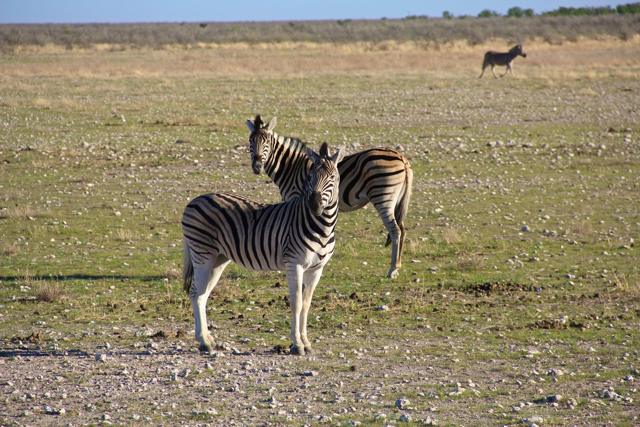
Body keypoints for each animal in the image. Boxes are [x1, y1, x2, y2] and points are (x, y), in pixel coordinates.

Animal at [182, 142, 343, 356]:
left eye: (332, 177)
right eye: (310, 177)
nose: (314, 205)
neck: (322, 227)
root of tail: (194, 200)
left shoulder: (316, 269)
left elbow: (307, 305)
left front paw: (306, 342)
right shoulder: (294, 264)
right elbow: (297, 303)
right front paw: (297, 344)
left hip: (218, 258)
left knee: (203, 295)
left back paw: (208, 339)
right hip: (202, 254)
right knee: (195, 293)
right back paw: (203, 342)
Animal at [246, 115, 413, 279]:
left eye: (266, 142)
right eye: (250, 141)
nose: (257, 166)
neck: (291, 167)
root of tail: (401, 158)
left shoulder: (296, 199)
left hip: (382, 196)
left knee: (395, 230)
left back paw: (392, 270)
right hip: (395, 200)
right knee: (402, 229)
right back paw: (397, 266)